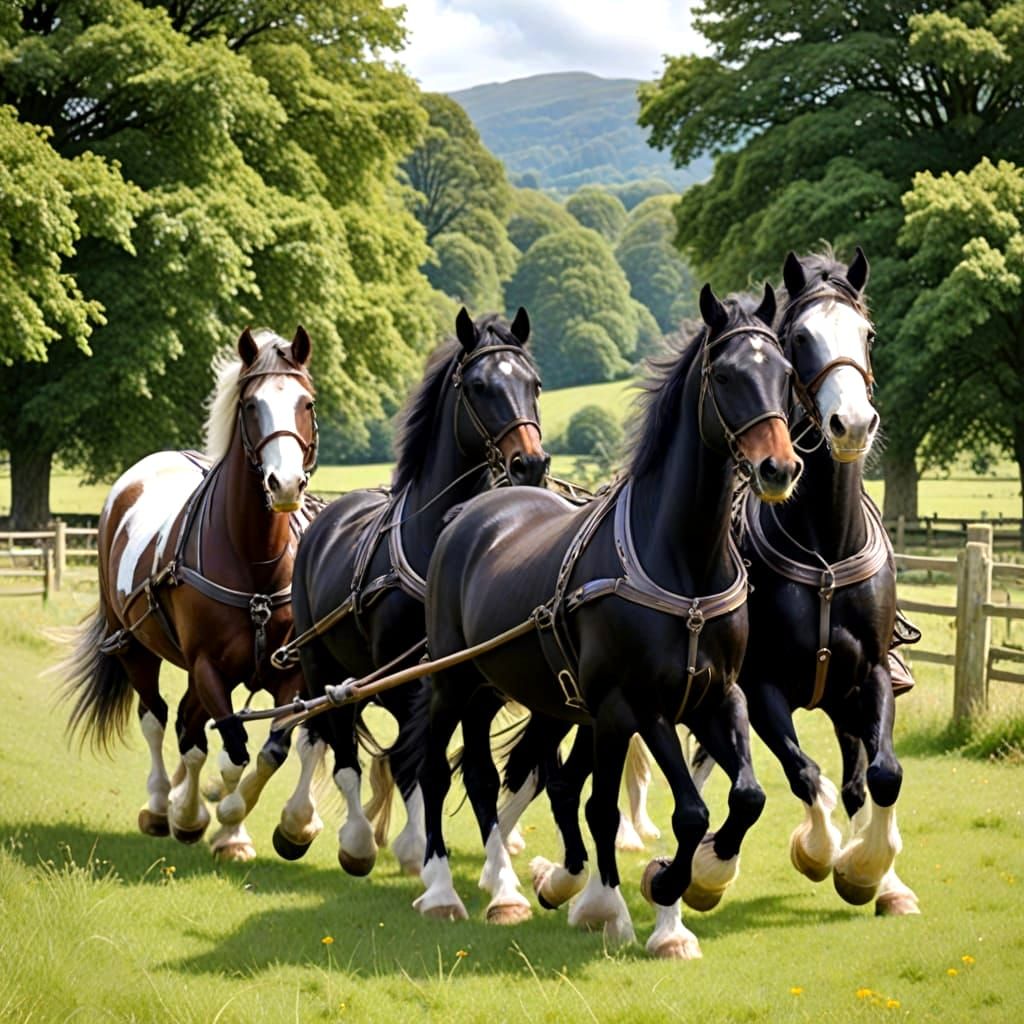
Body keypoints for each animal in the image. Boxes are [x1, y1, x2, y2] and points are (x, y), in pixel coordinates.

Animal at [58, 327, 319, 860]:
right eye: (251, 405)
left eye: (307, 402)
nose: (284, 484)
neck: (254, 559)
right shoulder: (207, 667)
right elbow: (229, 747)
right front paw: (215, 817)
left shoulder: (290, 672)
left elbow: (271, 749)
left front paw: (247, 826)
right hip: (132, 646)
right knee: (157, 718)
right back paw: (163, 807)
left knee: (184, 723)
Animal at [223, 308, 549, 876]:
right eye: (479, 386)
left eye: (533, 383)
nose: (529, 463)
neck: (431, 543)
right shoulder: (400, 680)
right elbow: (405, 759)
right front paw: (408, 846)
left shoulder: (459, 681)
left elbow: (431, 758)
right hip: (319, 661)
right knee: (333, 739)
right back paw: (328, 832)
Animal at [404, 284, 801, 958]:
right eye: (725, 375)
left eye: (784, 372)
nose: (779, 468)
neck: (684, 564)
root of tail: (468, 514)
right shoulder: (634, 705)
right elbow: (669, 812)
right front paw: (643, 898)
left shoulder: (716, 697)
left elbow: (743, 797)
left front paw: (690, 887)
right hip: (451, 683)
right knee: (434, 771)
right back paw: (441, 891)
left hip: (511, 693)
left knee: (489, 776)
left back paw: (510, 887)